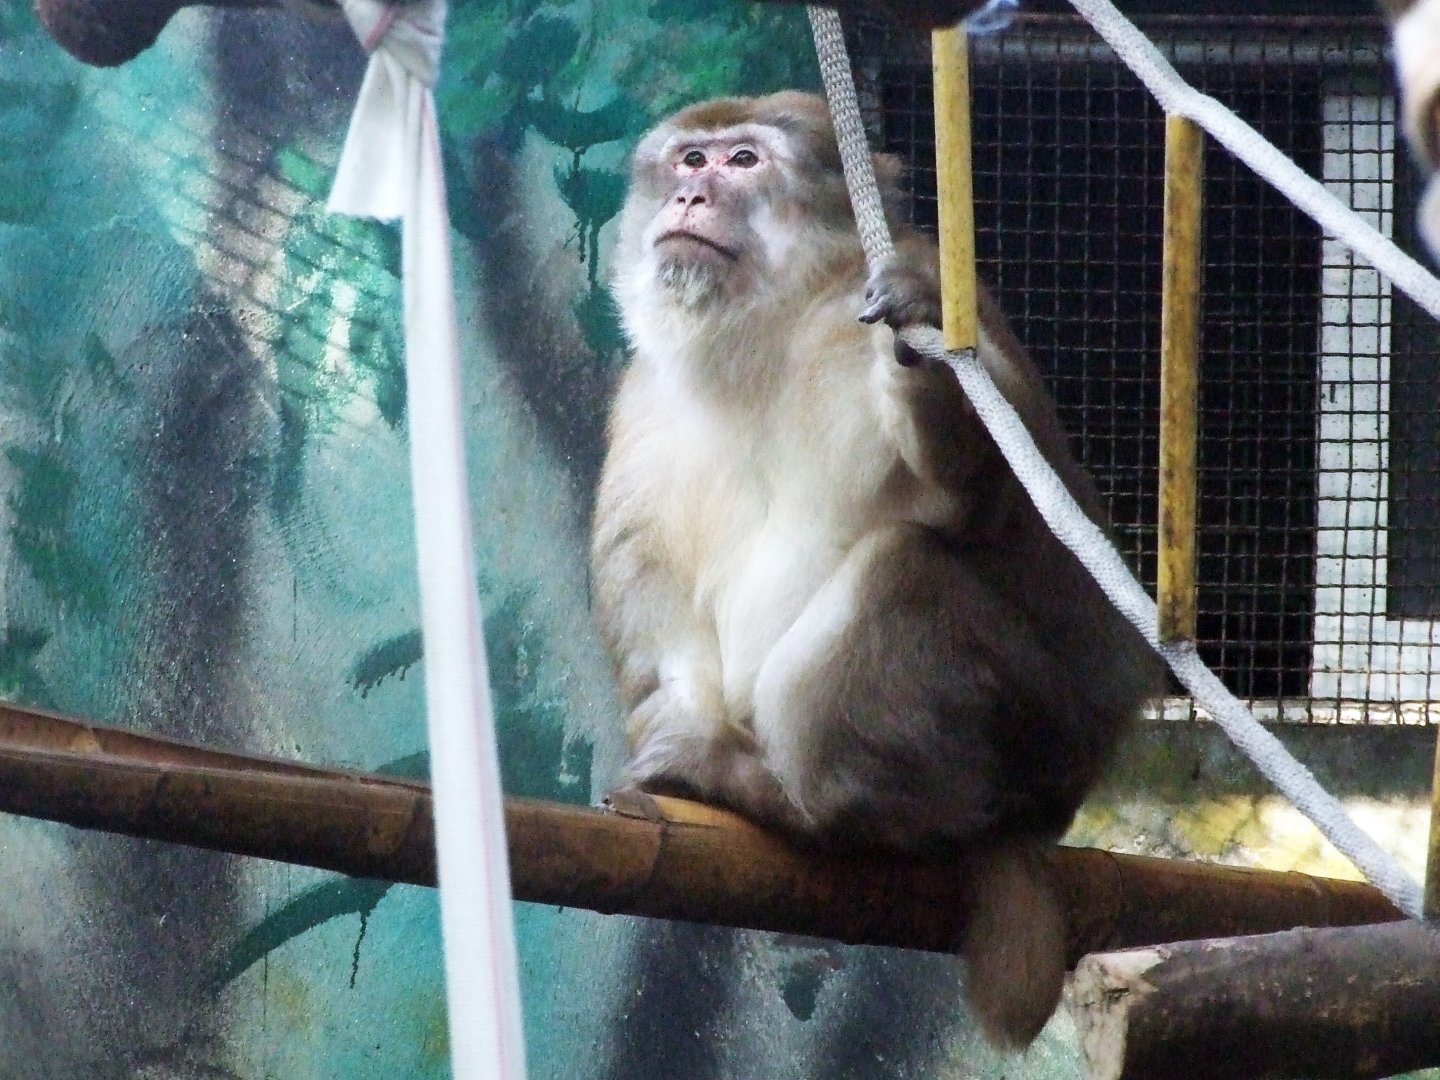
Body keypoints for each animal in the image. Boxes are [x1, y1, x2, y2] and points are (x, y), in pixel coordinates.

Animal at [591, 91, 1162, 1048]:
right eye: (688, 161)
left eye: (742, 161)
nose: (690, 198)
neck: (771, 333)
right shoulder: (644, 398)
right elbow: (650, 585)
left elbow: (1000, 517)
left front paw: (919, 354)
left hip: (1036, 731)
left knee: (903, 571)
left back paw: (800, 804)